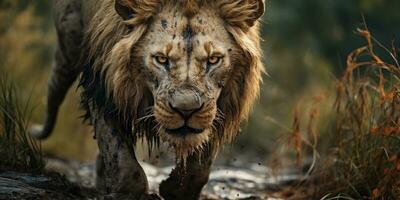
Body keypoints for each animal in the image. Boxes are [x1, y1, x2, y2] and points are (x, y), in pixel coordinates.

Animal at [32, 0, 264, 199]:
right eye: (161, 59)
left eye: (214, 60)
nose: (186, 110)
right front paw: (127, 192)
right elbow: (120, 156)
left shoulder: (218, 108)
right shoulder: (101, 85)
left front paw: (175, 189)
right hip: (68, 44)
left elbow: (200, 164)